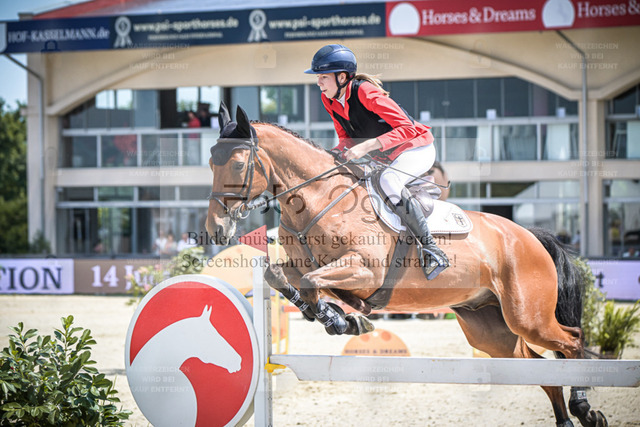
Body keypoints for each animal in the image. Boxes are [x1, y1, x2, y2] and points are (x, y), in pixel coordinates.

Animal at [205, 103, 606, 427]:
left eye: (237, 164)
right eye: (210, 162)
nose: (216, 229)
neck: (318, 199)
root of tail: (529, 236)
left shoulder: (365, 270)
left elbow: (314, 282)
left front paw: (341, 319)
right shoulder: (302, 266)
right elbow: (281, 275)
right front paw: (341, 318)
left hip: (527, 316)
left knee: (571, 341)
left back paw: (585, 409)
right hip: (490, 330)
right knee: (538, 365)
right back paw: (567, 419)